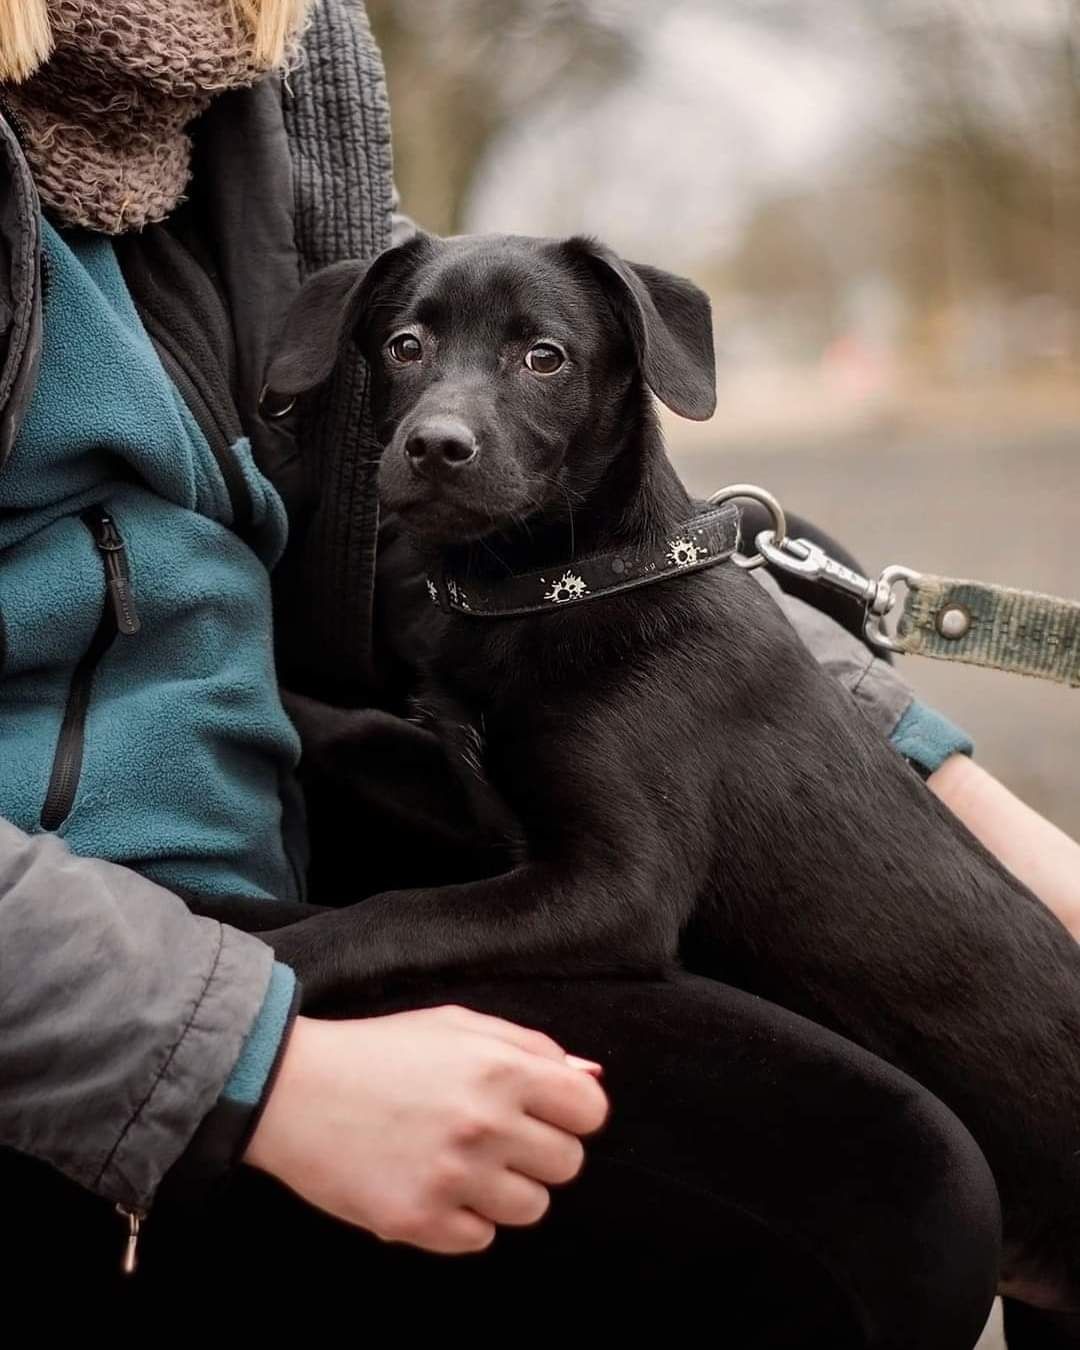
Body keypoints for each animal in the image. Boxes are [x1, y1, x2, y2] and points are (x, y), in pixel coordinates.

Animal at [261, 229, 1080, 1306]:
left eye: (546, 357)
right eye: (405, 345)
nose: (436, 447)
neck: (555, 588)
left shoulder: (616, 888)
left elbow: (402, 912)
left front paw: (271, 954)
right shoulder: (482, 798)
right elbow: (352, 733)